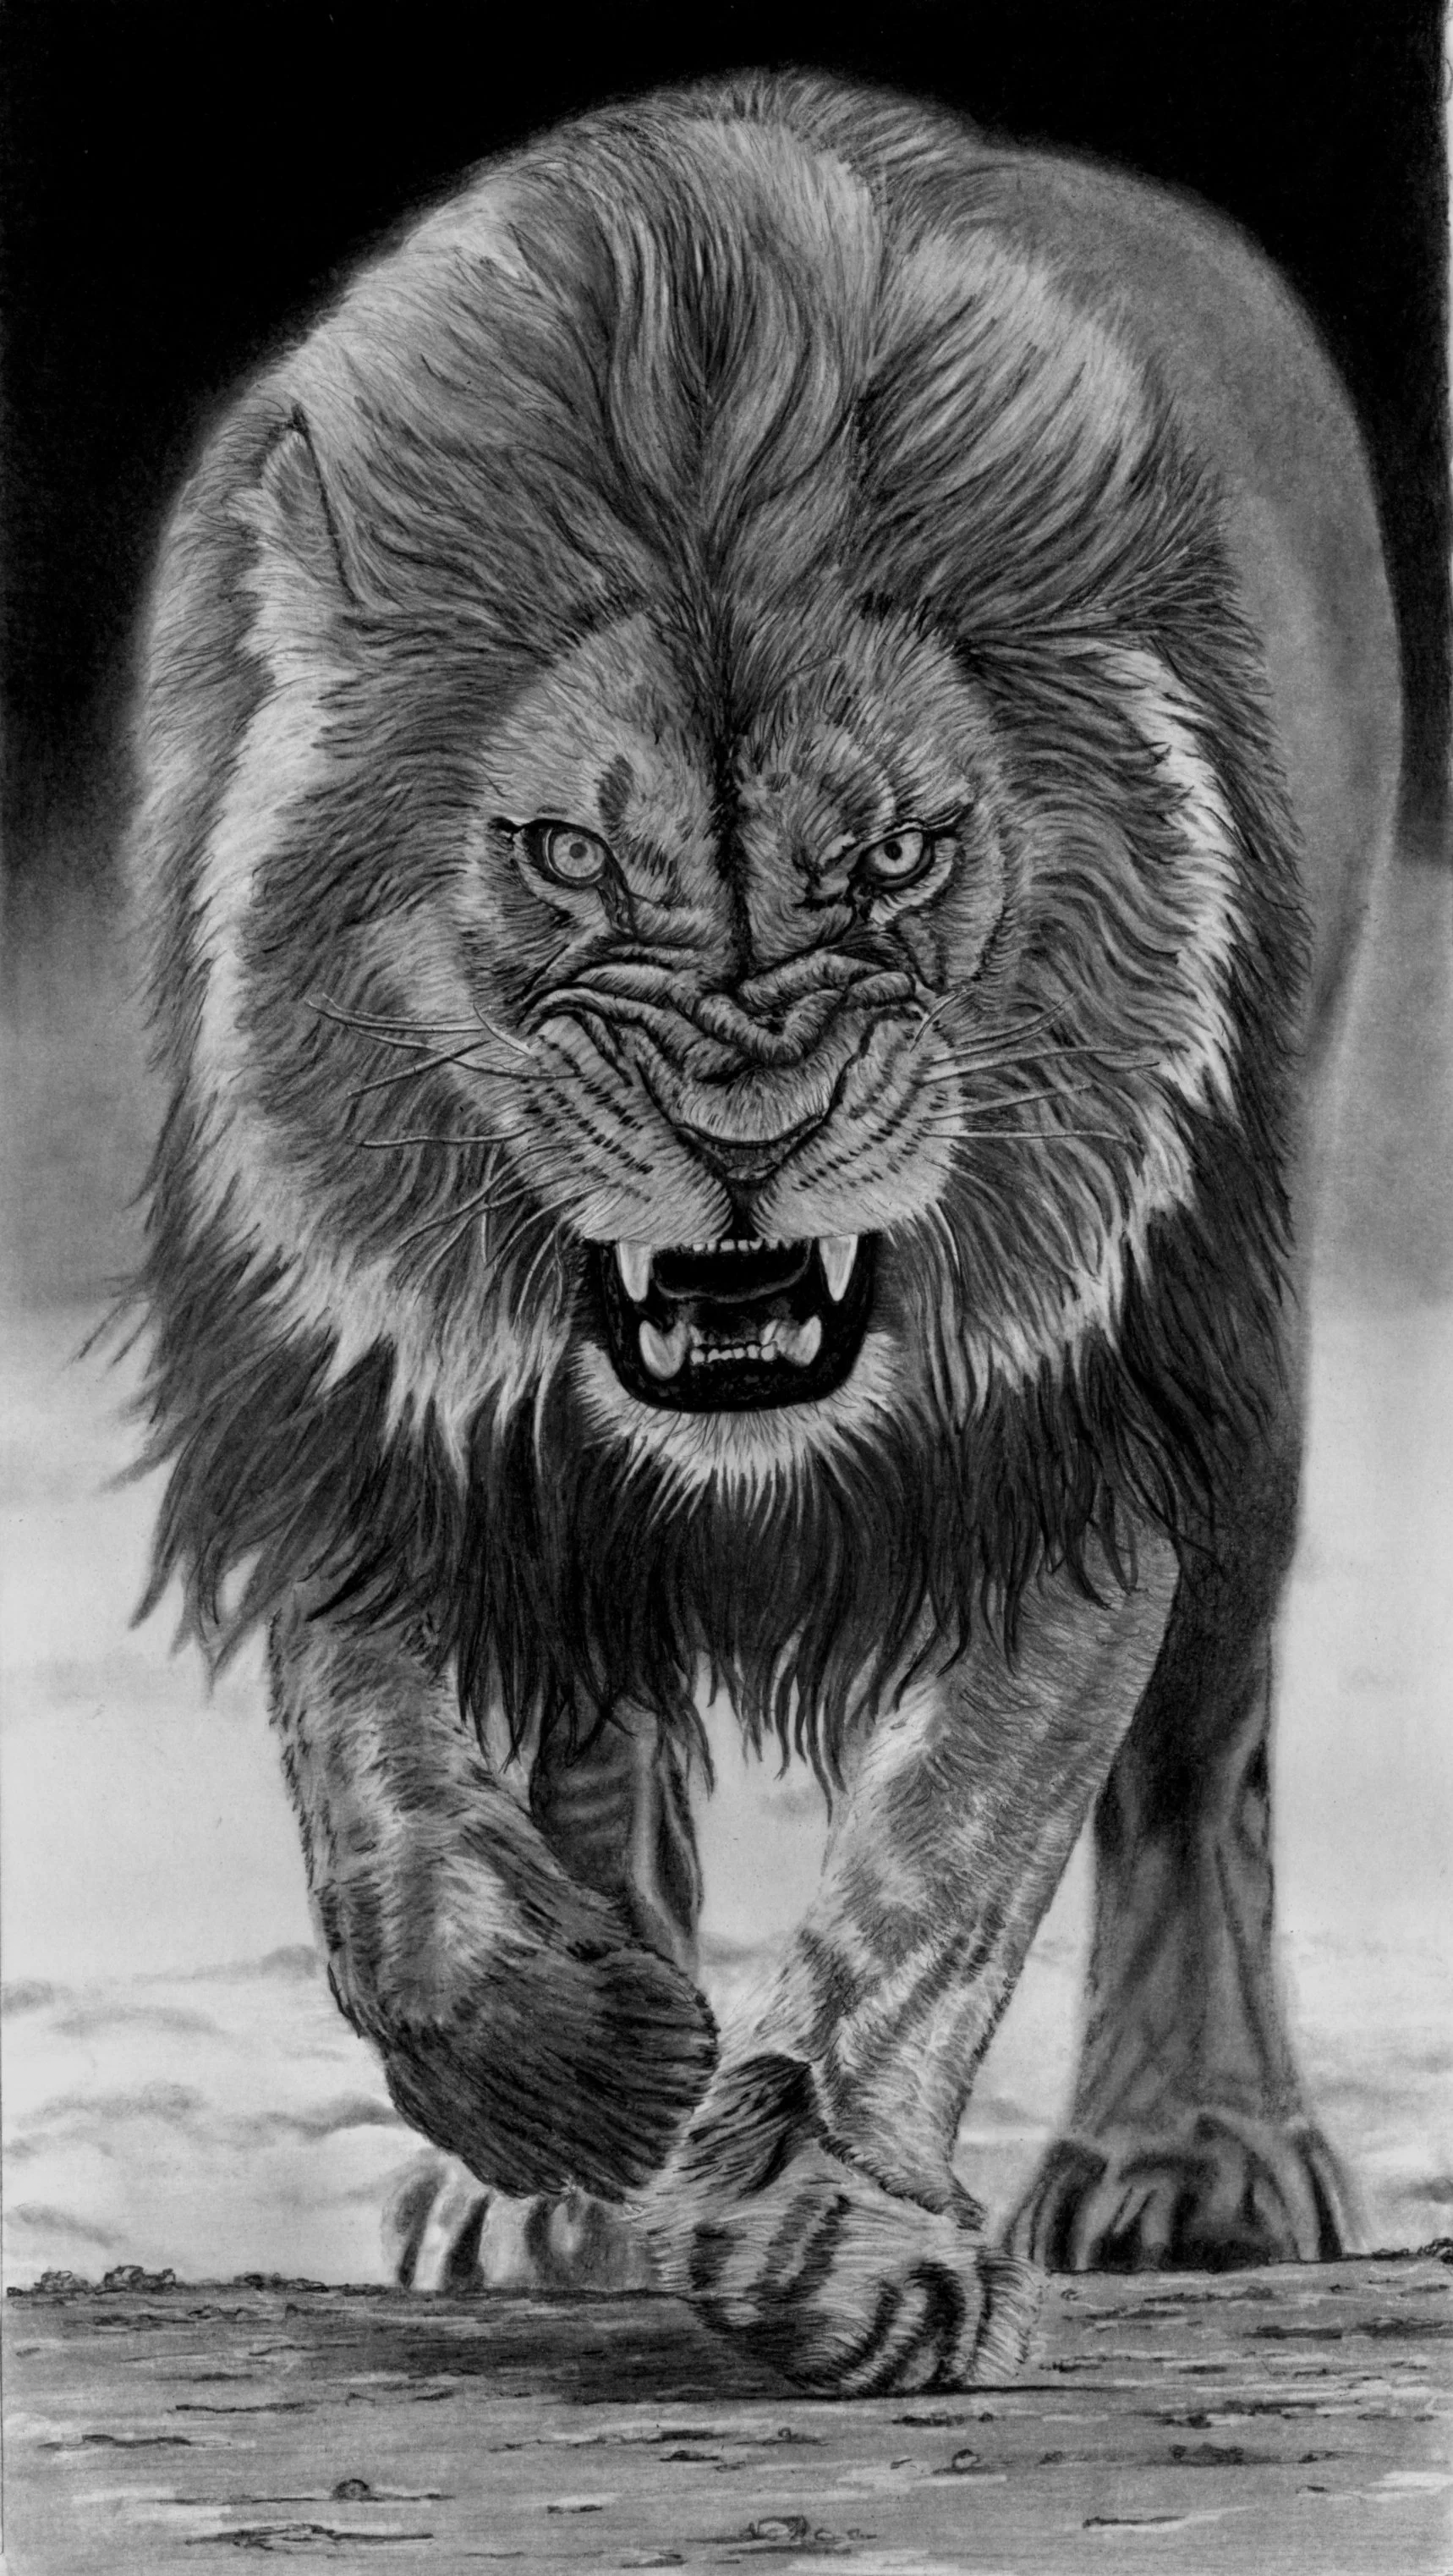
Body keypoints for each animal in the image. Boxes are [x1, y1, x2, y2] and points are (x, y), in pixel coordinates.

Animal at [130, 72, 1400, 2392]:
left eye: (896, 857)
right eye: (561, 856)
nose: (752, 1128)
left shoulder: (1072, 1406)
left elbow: (947, 1853)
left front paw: (832, 2231)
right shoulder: (347, 1367)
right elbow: (378, 1810)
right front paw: (579, 2083)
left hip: (1243, 1352)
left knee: (1203, 1769)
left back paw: (1191, 2158)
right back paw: (551, 2189)